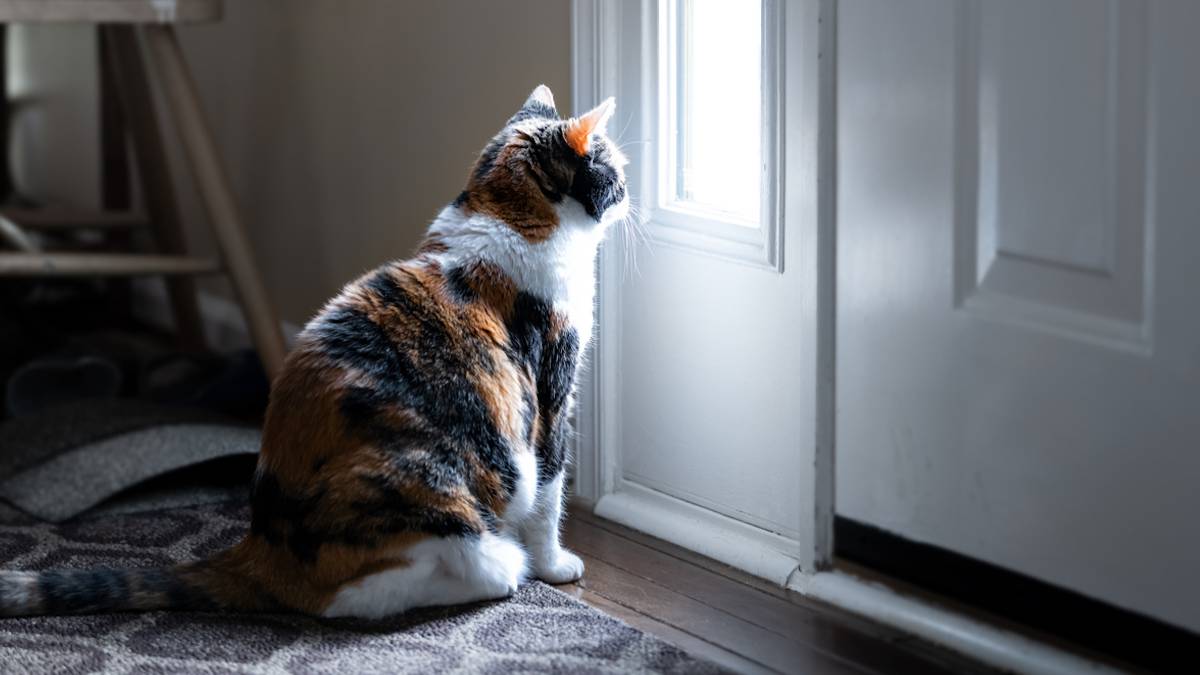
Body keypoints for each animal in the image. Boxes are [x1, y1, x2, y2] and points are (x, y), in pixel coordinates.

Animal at [0, 86, 633, 619]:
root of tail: (259, 548)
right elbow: (549, 492)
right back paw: (507, 568)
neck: (507, 213)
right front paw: (555, 566)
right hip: (435, 491)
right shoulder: (550, 392)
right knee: (361, 596)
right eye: (614, 168)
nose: (631, 194)